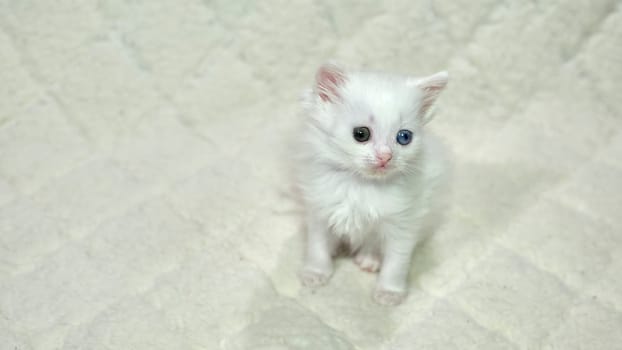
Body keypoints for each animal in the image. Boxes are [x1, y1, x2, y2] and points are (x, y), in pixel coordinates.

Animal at [298, 63, 454, 306]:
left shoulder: (404, 224)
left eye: (404, 137)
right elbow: (317, 246)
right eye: (361, 134)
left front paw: (389, 292)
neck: (362, 185)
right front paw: (315, 273)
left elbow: (397, 262)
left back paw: (369, 259)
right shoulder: (320, 210)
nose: (386, 156)